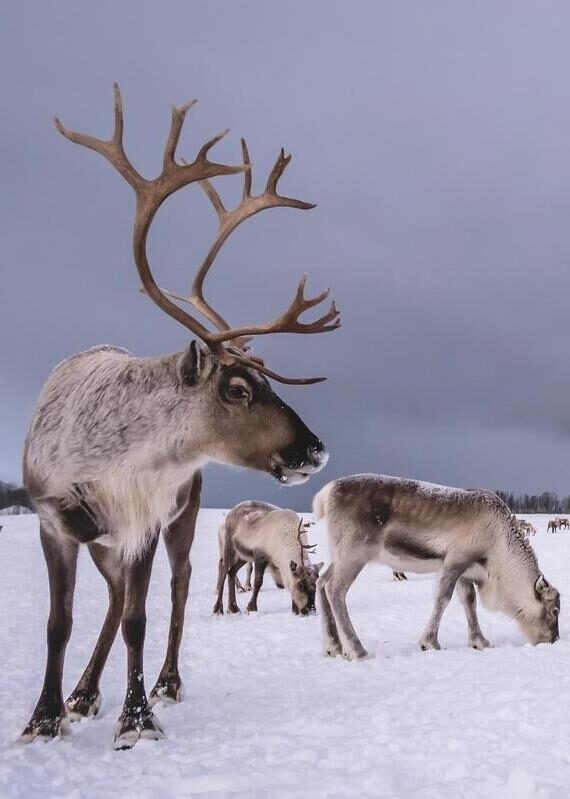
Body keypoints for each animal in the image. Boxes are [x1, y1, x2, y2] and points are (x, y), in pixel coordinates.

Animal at [21, 85, 340, 749]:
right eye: (239, 388)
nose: (316, 450)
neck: (106, 460)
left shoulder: (144, 521)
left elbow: (140, 618)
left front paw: (137, 718)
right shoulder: (53, 520)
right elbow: (58, 622)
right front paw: (44, 717)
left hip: (182, 516)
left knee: (174, 588)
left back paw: (160, 683)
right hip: (107, 539)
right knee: (115, 600)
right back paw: (83, 693)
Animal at [314, 475, 560, 661]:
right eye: (555, 610)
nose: (554, 640)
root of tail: (326, 494)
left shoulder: (466, 571)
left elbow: (469, 601)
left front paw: (479, 641)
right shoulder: (455, 560)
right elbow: (443, 598)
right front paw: (429, 642)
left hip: (338, 555)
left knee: (321, 581)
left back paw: (333, 647)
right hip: (354, 552)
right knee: (335, 589)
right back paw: (357, 650)